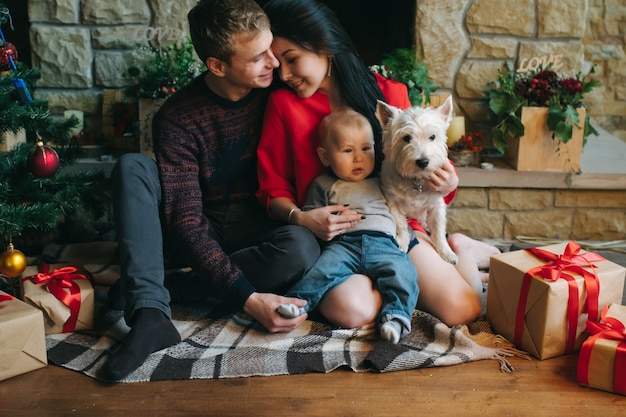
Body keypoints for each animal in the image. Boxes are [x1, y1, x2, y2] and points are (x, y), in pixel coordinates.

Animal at [376, 96, 458, 264]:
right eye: (406, 138)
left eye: (432, 137)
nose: (423, 161)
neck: (416, 180)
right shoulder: (392, 201)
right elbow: (400, 223)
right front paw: (402, 241)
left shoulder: (436, 204)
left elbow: (439, 229)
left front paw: (447, 252)